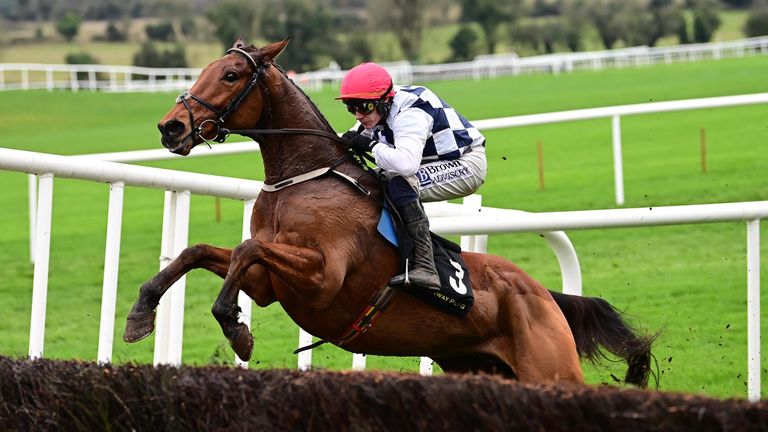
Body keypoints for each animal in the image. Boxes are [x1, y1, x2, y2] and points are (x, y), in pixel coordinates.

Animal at [124, 38, 656, 386]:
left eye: (231, 75)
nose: (171, 127)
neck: (304, 178)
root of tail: (544, 294)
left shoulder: (322, 279)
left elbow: (248, 249)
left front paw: (236, 330)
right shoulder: (270, 286)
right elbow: (201, 252)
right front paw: (141, 312)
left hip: (551, 368)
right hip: (480, 367)